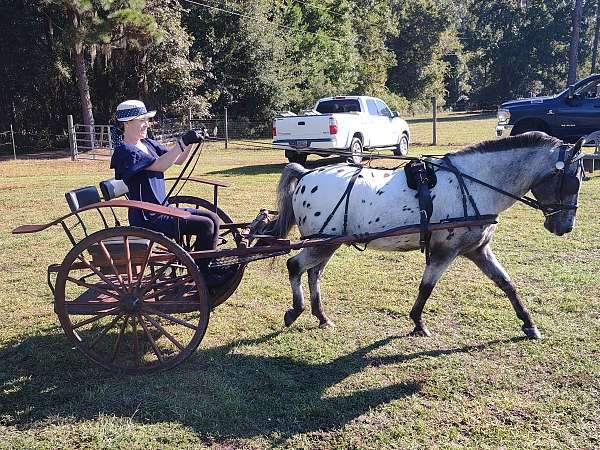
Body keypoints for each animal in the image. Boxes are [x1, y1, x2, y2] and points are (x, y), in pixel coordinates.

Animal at [270, 132, 584, 340]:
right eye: (573, 181)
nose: (565, 227)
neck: (473, 183)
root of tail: (306, 174)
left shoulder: (478, 249)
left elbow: (507, 284)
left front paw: (529, 324)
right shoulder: (446, 250)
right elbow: (427, 287)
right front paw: (418, 322)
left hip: (326, 244)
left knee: (313, 273)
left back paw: (321, 316)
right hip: (320, 244)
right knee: (294, 266)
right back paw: (295, 311)